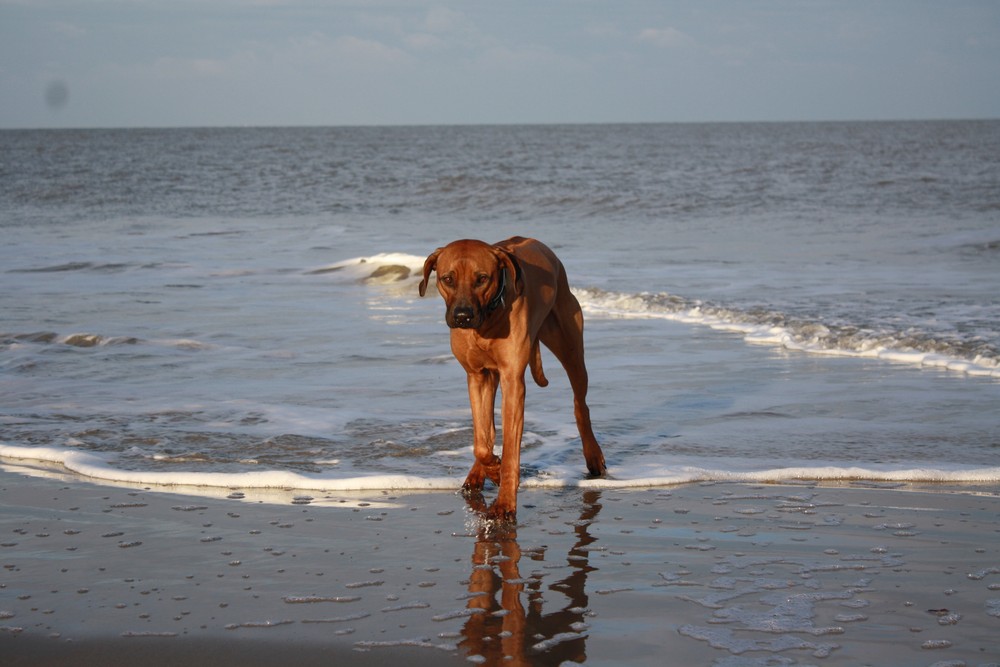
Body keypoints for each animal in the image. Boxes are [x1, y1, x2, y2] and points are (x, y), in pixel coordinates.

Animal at [418, 236, 604, 520]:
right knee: (487, 432)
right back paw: (476, 474)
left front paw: (505, 501)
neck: (486, 321)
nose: (462, 316)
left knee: (580, 404)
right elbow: (482, 441)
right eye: (448, 279)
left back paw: (593, 454)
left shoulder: (512, 380)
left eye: (482, 278)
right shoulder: (477, 376)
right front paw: (492, 469)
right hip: (491, 376)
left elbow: (508, 448)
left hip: (571, 347)